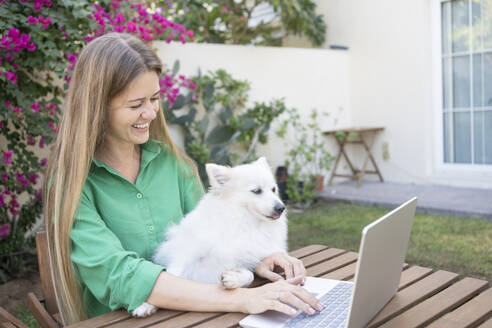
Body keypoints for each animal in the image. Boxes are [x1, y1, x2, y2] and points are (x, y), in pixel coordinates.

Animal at [133, 157, 290, 318]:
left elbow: (249, 275)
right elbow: (172, 276)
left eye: (273, 190)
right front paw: (146, 305)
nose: (281, 208)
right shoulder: (186, 254)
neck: (242, 221)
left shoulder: (240, 259)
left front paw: (233, 279)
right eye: (256, 191)